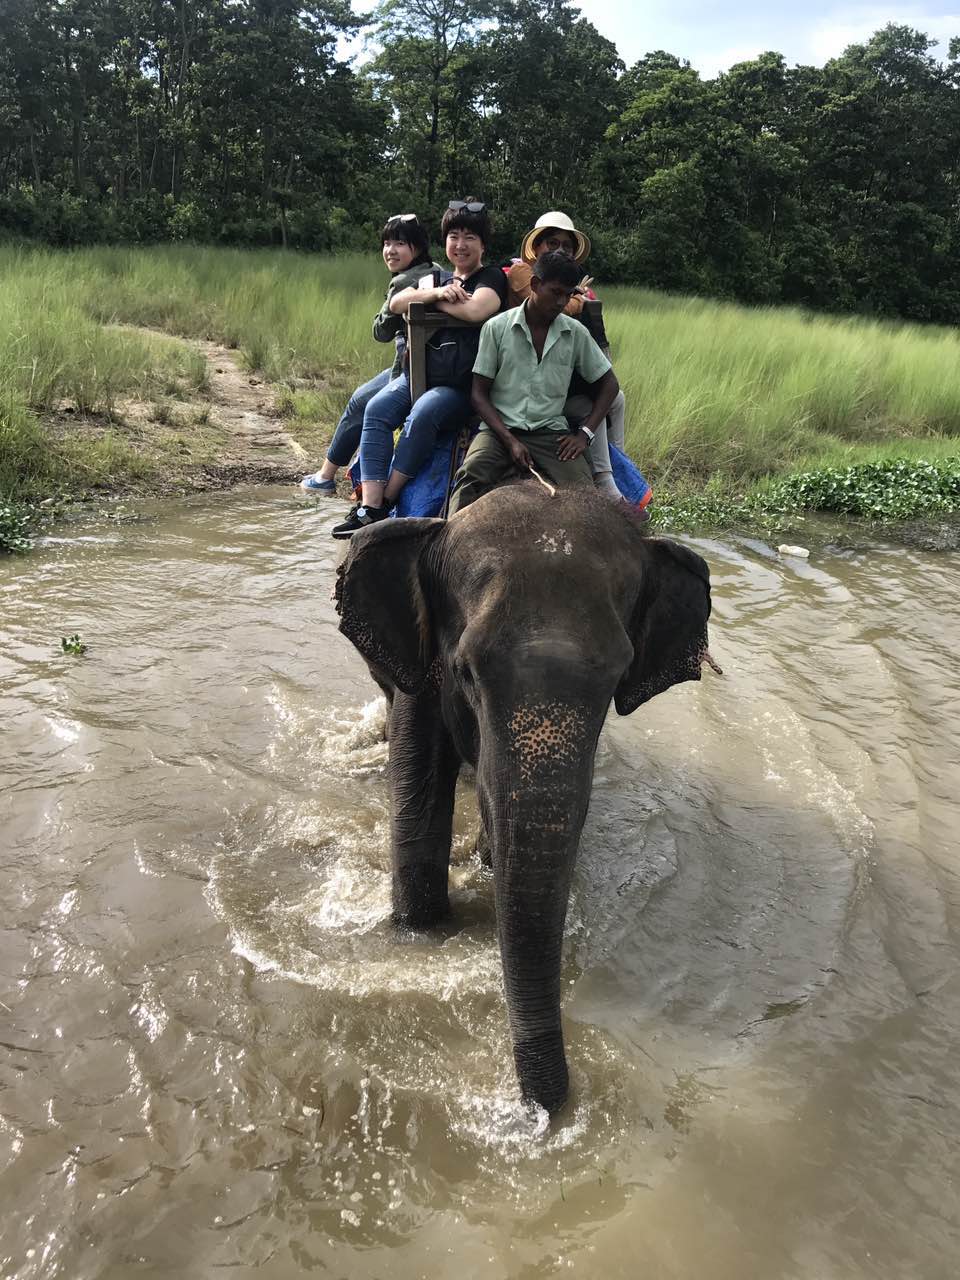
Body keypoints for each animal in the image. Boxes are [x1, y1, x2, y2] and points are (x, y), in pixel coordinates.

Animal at [335, 481, 711, 1111]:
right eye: (464, 670)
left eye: (618, 678)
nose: (547, 1109)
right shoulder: (423, 665)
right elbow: (418, 798)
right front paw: (418, 932)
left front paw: (490, 863)